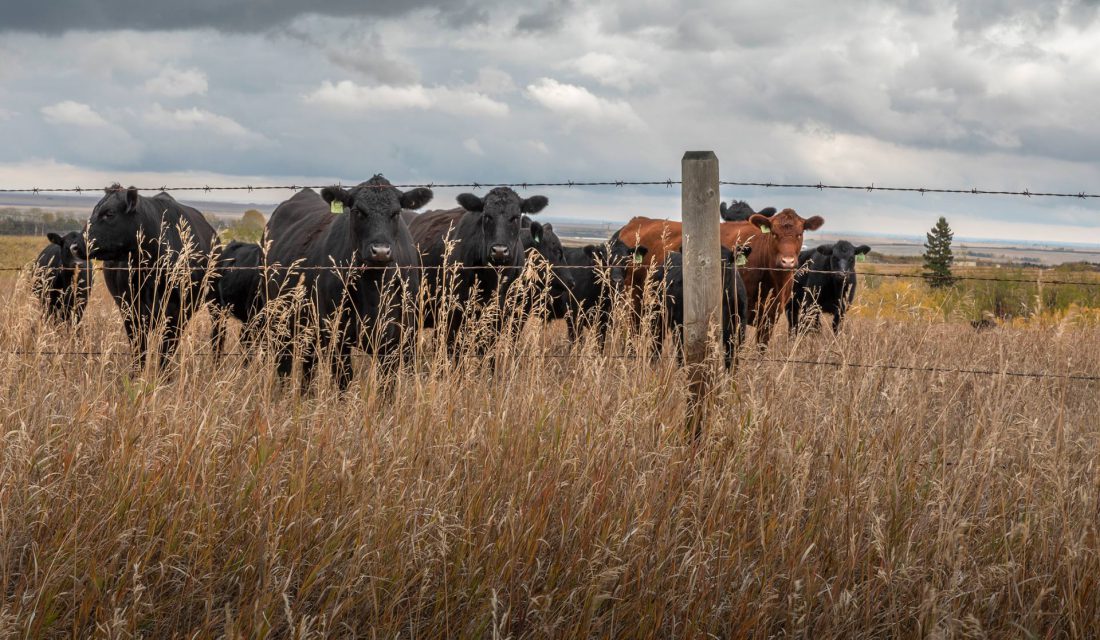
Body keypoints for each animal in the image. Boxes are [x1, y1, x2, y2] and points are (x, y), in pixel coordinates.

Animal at [80, 185, 217, 369]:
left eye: (109, 213)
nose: (76, 245)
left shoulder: (176, 313)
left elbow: (165, 353)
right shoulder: (131, 311)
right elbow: (140, 352)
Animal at [261, 175, 429, 389]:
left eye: (396, 212)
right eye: (358, 211)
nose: (380, 251)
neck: (373, 290)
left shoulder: (397, 339)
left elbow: (387, 384)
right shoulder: (337, 335)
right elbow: (344, 379)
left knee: (308, 364)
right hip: (279, 319)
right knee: (285, 362)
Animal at [411, 185, 547, 356]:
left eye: (515, 217)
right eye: (487, 216)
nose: (499, 251)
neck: (493, 279)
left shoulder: (503, 315)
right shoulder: (454, 313)